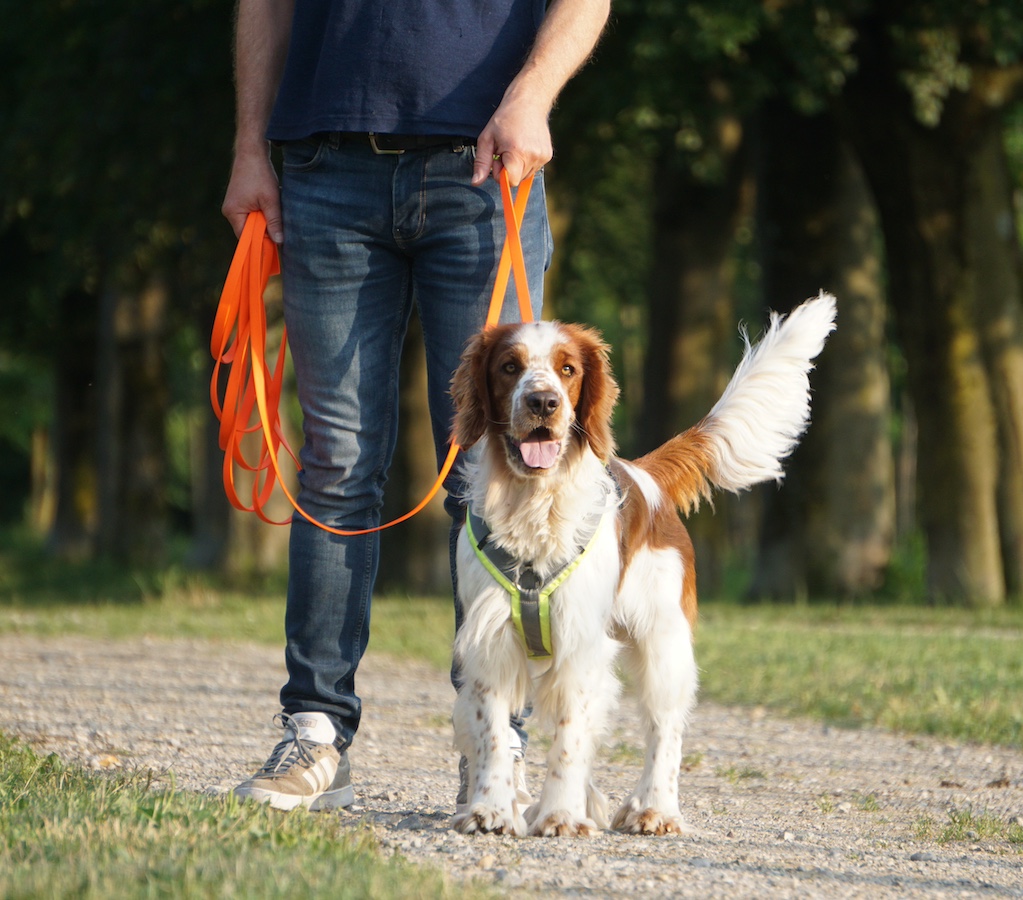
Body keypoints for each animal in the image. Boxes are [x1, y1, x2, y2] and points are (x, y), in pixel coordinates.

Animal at [452, 294, 834, 838]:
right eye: (509, 367)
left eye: (567, 369)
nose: (543, 402)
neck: (535, 505)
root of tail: (645, 476)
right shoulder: (491, 641)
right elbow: (492, 734)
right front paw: (490, 809)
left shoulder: (581, 643)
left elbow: (569, 740)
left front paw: (561, 816)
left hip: (663, 644)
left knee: (664, 730)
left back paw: (654, 808)